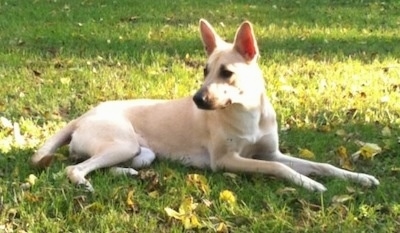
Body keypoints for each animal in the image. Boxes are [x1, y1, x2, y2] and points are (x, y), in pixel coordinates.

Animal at [30, 19, 378, 192]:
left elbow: (322, 165)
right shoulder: (227, 160)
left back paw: (126, 173)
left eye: (226, 72)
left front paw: (358, 178)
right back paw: (84, 183)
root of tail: (82, 116)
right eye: (204, 70)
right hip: (121, 142)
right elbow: (280, 169)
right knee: (74, 167)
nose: (197, 100)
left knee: (106, 163)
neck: (248, 112)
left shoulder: (270, 152)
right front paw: (311, 184)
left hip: (141, 152)